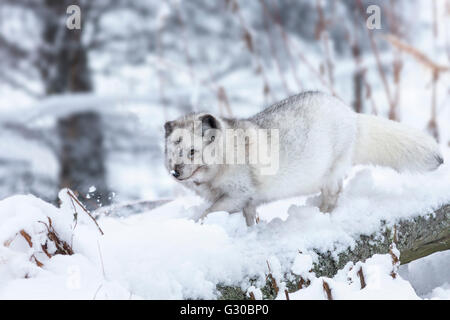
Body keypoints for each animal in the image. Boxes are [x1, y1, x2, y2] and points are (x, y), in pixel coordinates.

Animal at [164, 90, 442, 226]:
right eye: (171, 153)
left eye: (192, 151)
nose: (175, 172)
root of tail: (350, 114)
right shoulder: (246, 201)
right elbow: (248, 217)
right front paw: (251, 230)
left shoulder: (239, 193)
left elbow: (209, 212)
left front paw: (193, 224)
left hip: (332, 171)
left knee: (333, 194)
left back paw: (323, 213)